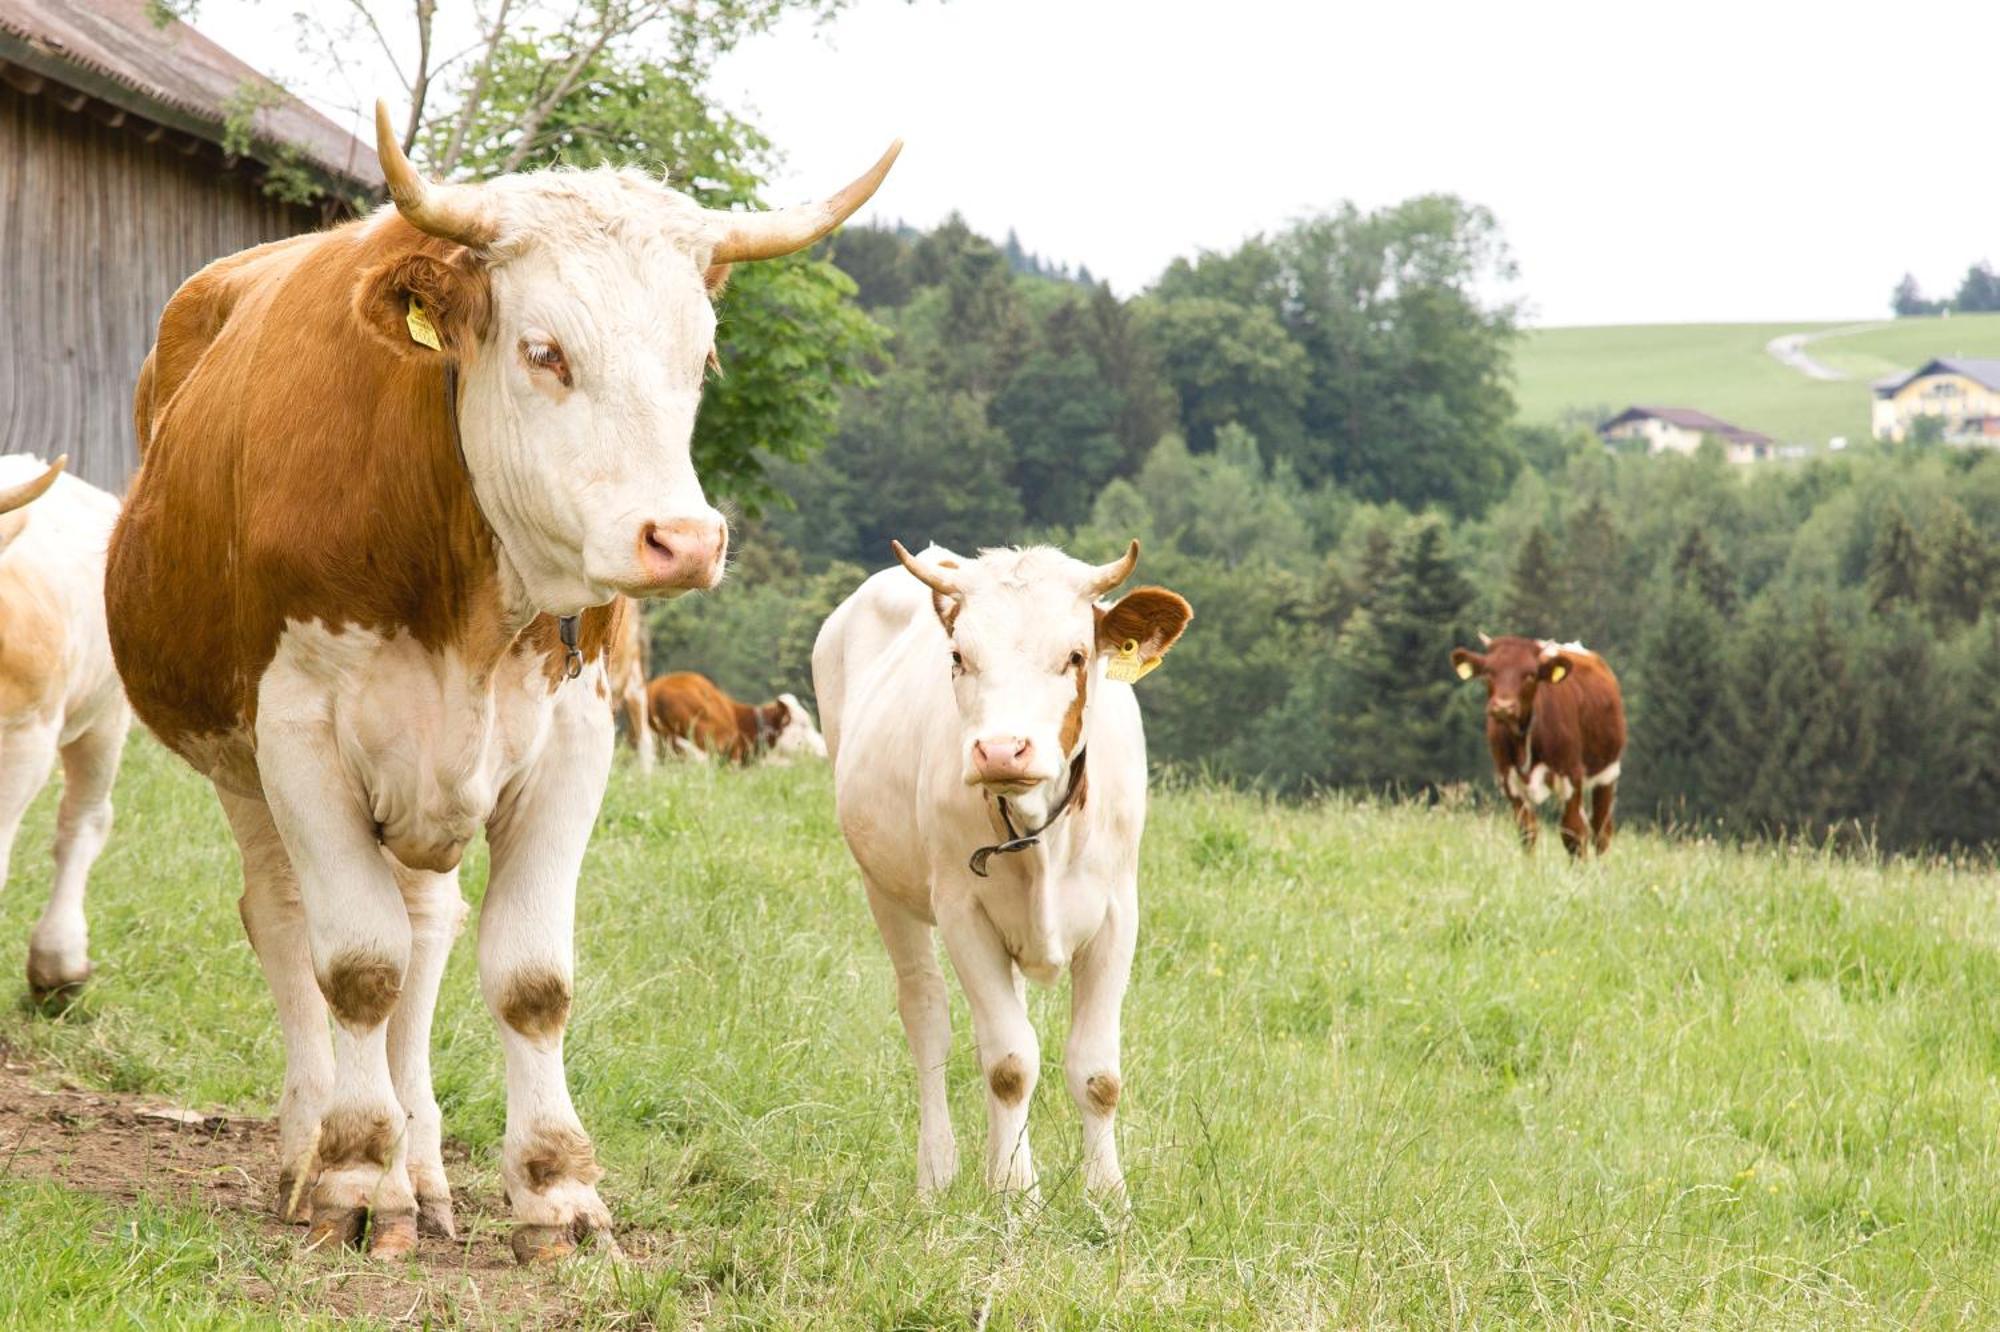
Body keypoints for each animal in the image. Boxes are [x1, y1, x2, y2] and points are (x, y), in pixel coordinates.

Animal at [808, 540, 1184, 1192]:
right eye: (959, 656)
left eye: (1076, 655)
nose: (1002, 750)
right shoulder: (964, 914)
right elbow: (1009, 1065)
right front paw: (1015, 1195)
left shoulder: (1118, 915)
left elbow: (1098, 1074)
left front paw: (1107, 1198)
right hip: (884, 888)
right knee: (929, 1018)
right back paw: (936, 1176)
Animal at [1456, 632, 1624, 852]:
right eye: (1488, 672)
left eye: (1530, 675)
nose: (1503, 707)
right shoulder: (1509, 779)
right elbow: (1527, 832)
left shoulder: (1571, 775)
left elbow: (1573, 833)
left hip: (1607, 773)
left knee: (1600, 830)